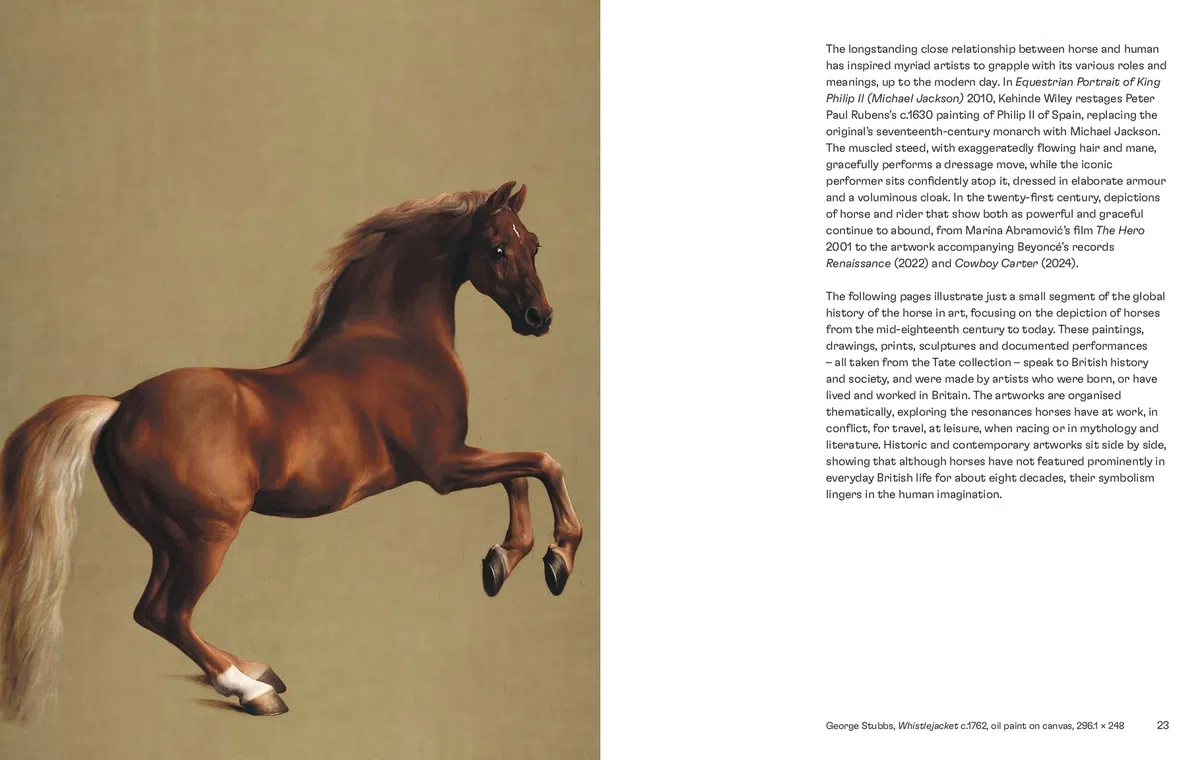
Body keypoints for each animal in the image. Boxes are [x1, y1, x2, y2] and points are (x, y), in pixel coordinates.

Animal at [0, 182, 583, 719]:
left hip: (167, 539)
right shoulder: (445, 465)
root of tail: (120, 406)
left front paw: (501, 561)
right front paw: (557, 558)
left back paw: (255, 671)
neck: (396, 343)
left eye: (534, 243)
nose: (540, 317)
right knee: (166, 613)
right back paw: (250, 690)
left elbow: (520, 474)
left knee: (154, 612)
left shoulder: (457, 460)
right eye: (497, 248)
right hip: (207, 536)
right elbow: (541, 463)